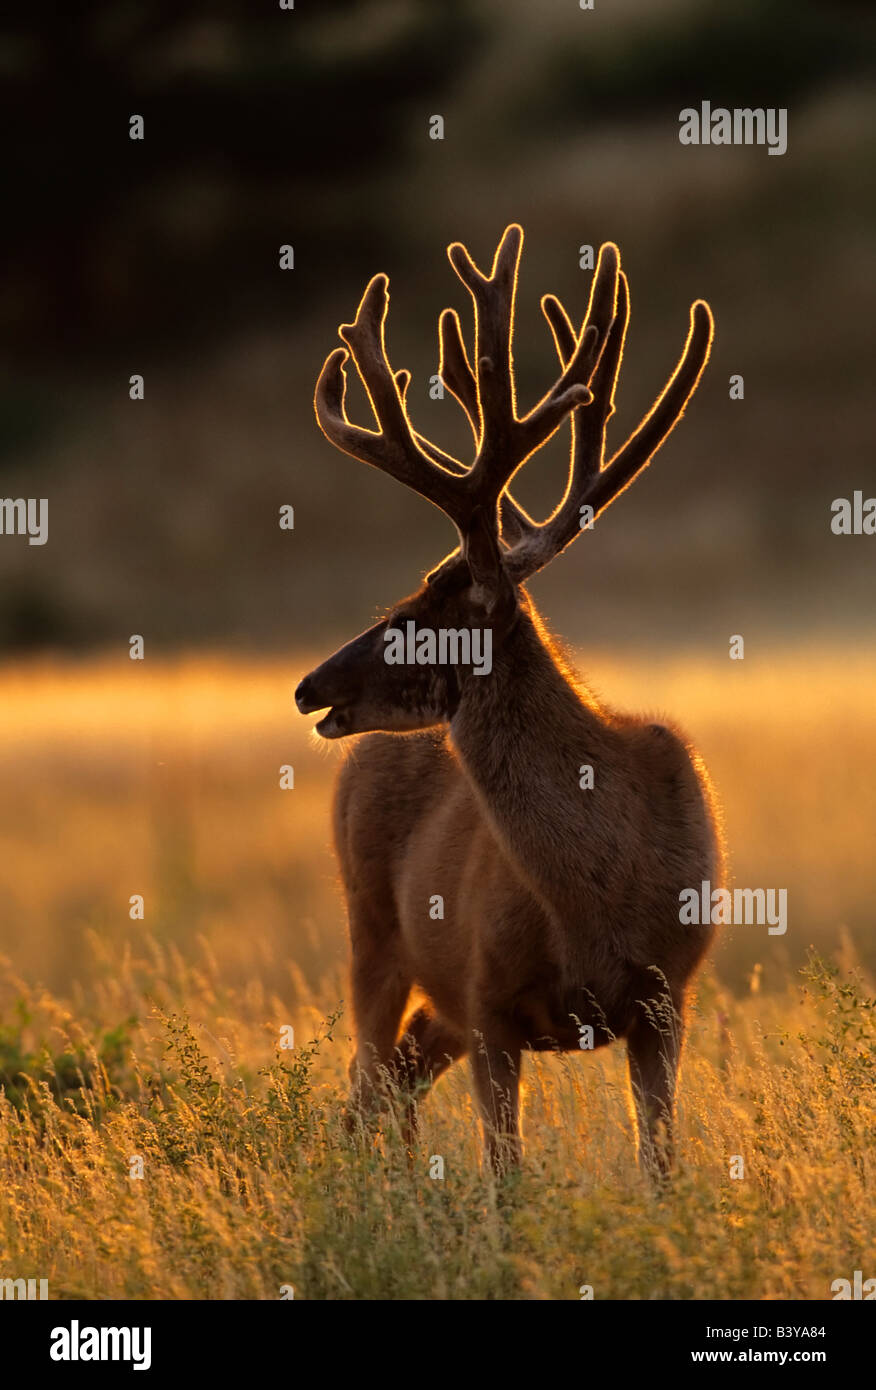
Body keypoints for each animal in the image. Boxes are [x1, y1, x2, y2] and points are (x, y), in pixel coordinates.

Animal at [295, 224, 722, 1179]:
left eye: (410, 617)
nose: (308, 687)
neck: (594, 902)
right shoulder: (488, 997)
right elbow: (507, 1178)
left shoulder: (668, 998)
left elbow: (661, 1168)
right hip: (370, 927)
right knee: (365, 1084)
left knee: (393, 1078)